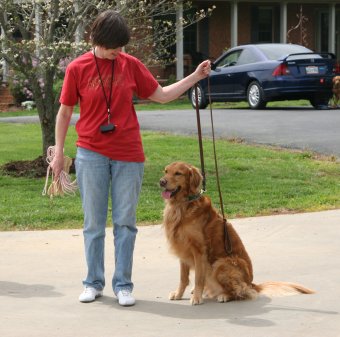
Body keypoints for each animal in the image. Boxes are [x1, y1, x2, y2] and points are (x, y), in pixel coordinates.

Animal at [159, 161, 314, 304]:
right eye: (166, 171)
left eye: (178, 173)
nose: (161, 182)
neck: (182, 205)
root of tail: (252, 283)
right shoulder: (183, 248)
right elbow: (183, 278)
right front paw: (178, 294)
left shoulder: (199, 251)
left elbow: (198, 279)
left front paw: (197, 298)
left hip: (222, 263)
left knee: (240, 292)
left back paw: (224, 295)